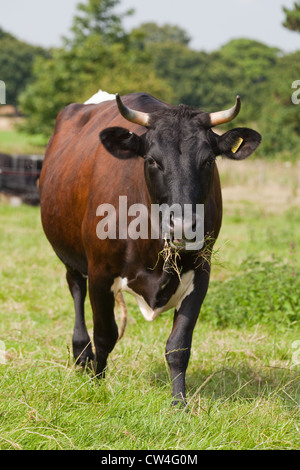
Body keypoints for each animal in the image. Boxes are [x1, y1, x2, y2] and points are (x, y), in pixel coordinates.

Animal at [39, 92, 260, 404]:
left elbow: (179, 345)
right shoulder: (100, 272)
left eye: (208, 161)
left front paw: (179, 403)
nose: (183, 225)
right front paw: (97, 383)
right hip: (69, 254)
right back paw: (82, 355)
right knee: (76, 290)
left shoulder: (201, 272)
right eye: (153, 160)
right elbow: (105, 334)